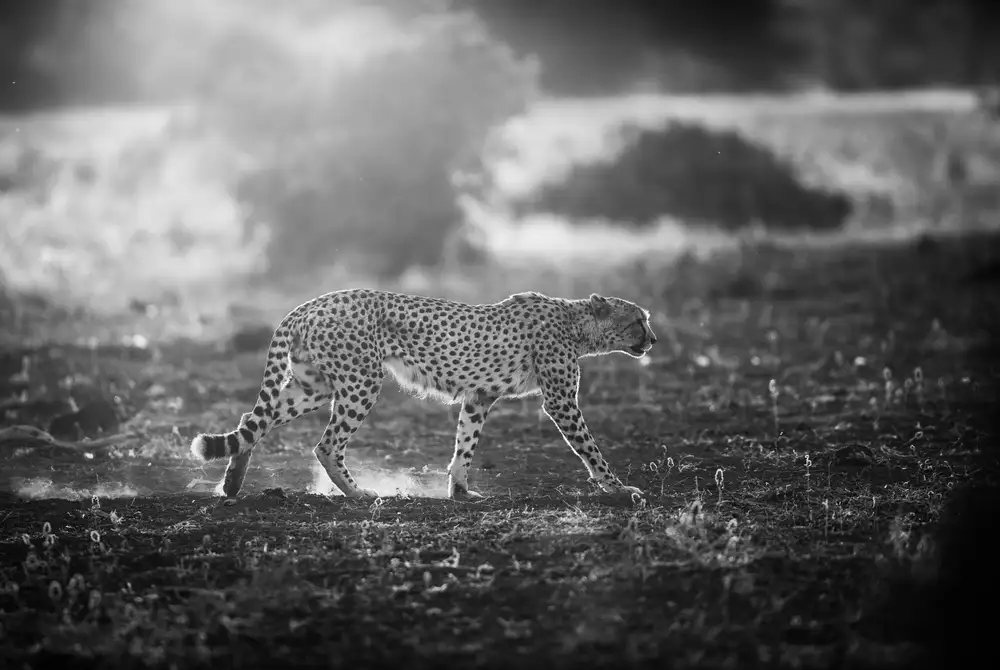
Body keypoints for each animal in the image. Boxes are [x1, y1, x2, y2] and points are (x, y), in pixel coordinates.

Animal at [189, 289, 657, 502]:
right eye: (638, 320)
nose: (653, 340)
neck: (578, 323)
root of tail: (310, 303)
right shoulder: (559, 400)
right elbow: (590, 448)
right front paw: (618, 487)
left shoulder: (479, 397)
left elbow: (465, 445)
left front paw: (461, 491)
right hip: (361, 381)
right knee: (326, 444)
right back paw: (359, 494)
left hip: (312, 386)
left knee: (253, 423)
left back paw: (231, 484)